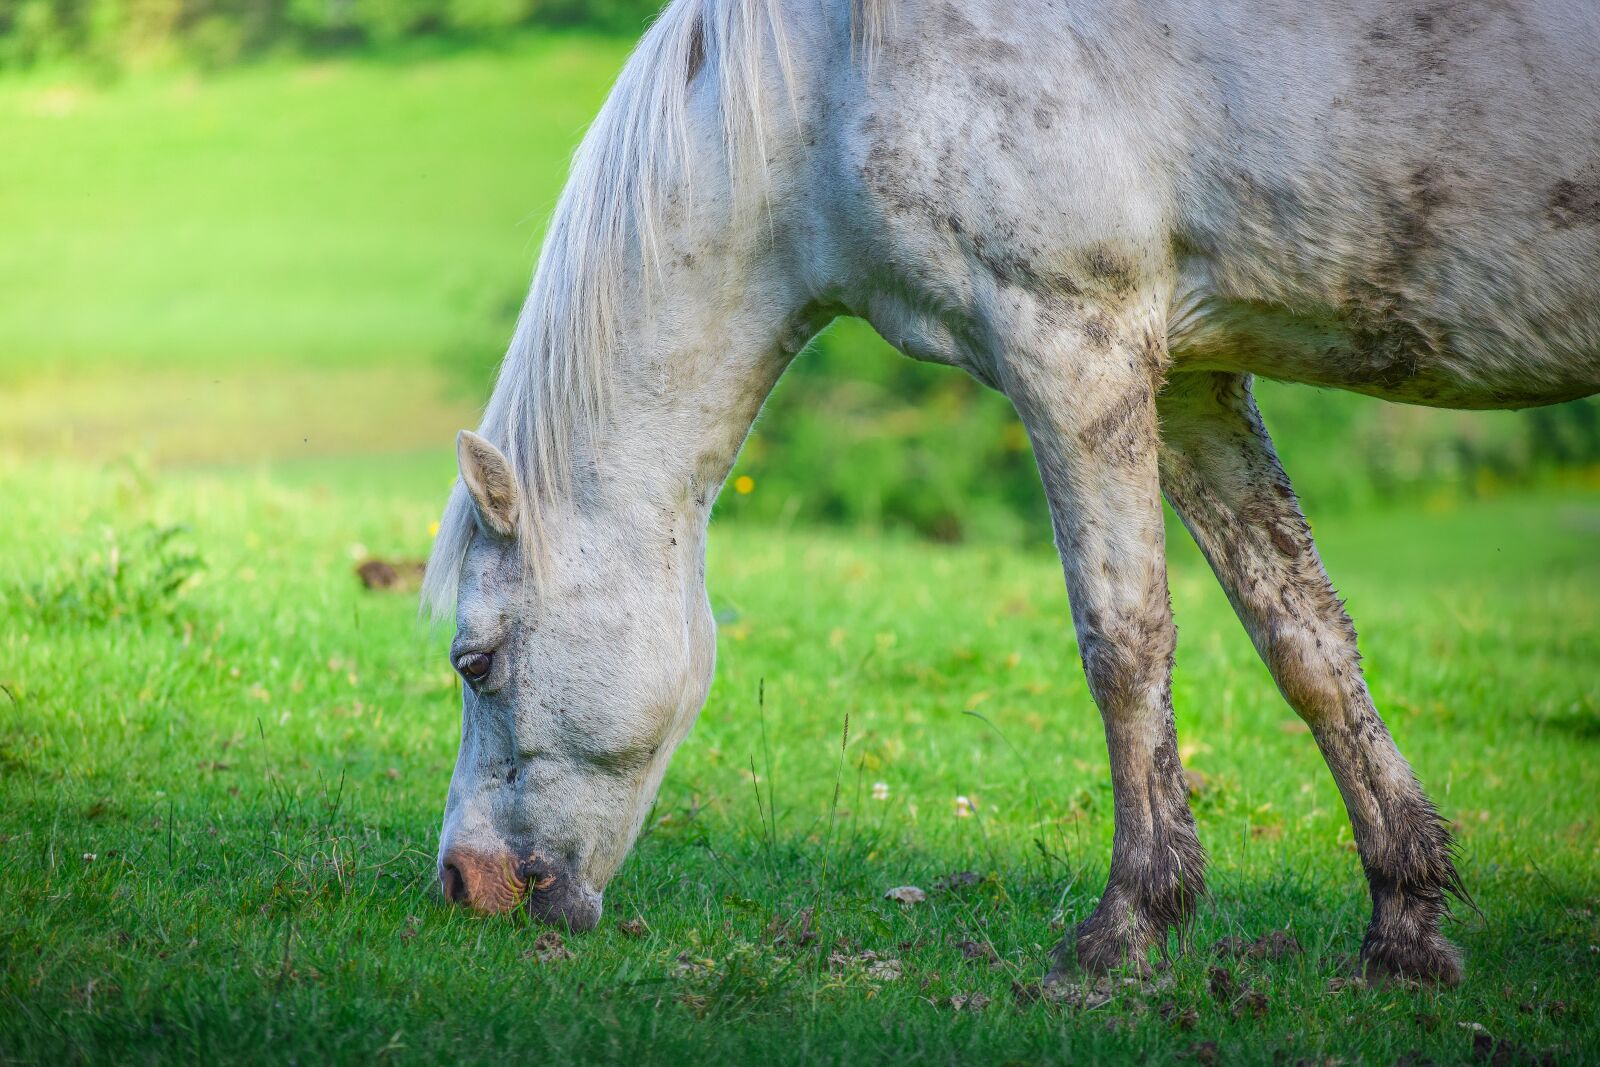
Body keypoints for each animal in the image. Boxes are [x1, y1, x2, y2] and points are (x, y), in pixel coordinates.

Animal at [422, 0, 1600, 984]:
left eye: (474, 660)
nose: (461, 884)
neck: (834, 67)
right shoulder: (1191, 380)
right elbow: (1303, 639)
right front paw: (1404, 923)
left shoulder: (1073, 344)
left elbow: (1122, 641)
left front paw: (1128, 923)